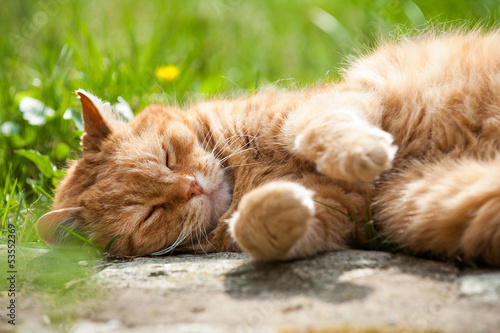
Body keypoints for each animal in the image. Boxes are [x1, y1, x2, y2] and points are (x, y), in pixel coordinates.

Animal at [37, 31, 500, 264]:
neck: (247, 173)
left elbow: (313, 124)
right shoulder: (389, 207)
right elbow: (257, 232)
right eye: (150, 213)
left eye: (168, 157)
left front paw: (361, 150)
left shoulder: (350, 95)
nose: (192, 188)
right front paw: (279, 205)